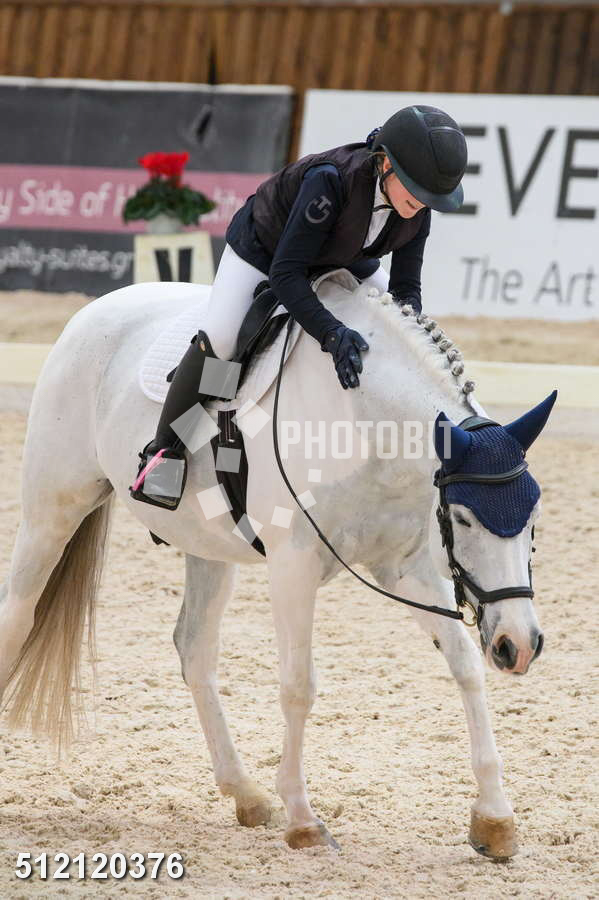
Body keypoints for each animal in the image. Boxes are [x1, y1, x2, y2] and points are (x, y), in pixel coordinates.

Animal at [0, 270, 555, 858]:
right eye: (465, 518)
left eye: (534, 516)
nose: (518, 646)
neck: (365, 423)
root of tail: (93, 310)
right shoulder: (294, 565)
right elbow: (297, 685)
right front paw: (304, 820)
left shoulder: (408, 569)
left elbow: (465, 667)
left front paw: (494, 819)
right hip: (51, 512)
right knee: (18, 616)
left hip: (207, 547)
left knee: (194, 649)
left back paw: (245, 794)